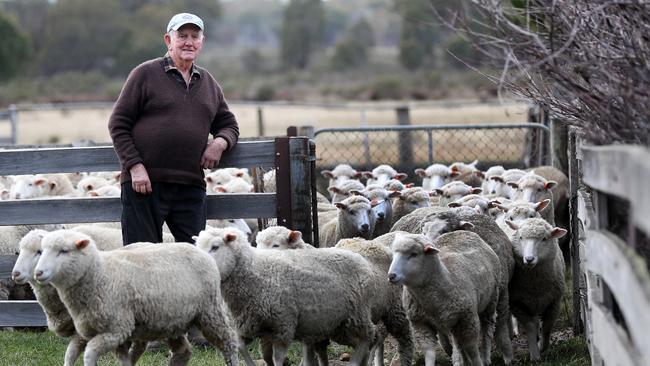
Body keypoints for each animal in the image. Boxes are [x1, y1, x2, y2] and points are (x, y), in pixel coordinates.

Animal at [33, 230, 240, 364]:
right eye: (41, 251)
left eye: (64, 251)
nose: (38, 272)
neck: (100, 275)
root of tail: (198, 250)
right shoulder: (105, 333)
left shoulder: (116, 329)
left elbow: (89, 354)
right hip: (171, 321)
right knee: (183, 352)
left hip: (210, 312)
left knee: (228, 343)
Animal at [192, 226, 374, 366]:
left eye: (215, 247)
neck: (256, 271)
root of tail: (360, 259)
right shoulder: (247, 324)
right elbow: (241, 348)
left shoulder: (283, 325)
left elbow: (277, 358)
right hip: (334, 323)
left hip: (356, 316)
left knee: (367, 338)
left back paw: (355, 362)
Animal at [384, 233, 502, 364]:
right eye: (393, 254)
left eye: (414, 254)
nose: (391, 276)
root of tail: (463, 232)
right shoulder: (421, 324)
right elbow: (429, 353)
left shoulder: (468, 320)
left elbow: (472, 350)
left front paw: (478, 362)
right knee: (459, 342)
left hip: (491, 301)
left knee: (487, 329)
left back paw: (486, 357)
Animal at [504, 217, 564, 360]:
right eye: (520, 237)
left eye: (544, 239)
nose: (529, 259)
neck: (535, 284)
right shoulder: (518, 304)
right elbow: (530, 326)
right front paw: (535, 354)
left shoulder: (554, 302)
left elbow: (547, 326)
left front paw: (543, 346)